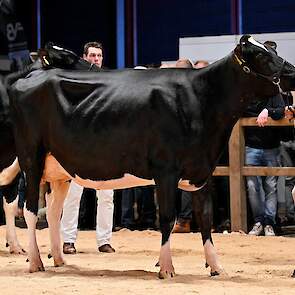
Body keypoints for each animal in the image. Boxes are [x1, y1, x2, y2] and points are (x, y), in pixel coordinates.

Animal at [8, 35, 295, 278]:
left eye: (272, 49)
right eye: (260, 55)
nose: (291, 70)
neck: (201, 99)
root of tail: (26, 78)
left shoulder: (201, 170)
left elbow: (205, 218)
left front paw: (216, 266)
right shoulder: (166, 171)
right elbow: (167, 218)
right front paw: (166, 268)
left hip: (59, 169)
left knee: (53, 211)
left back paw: (58, 258)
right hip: (31, 159)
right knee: (30, 209)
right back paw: (35, 261)